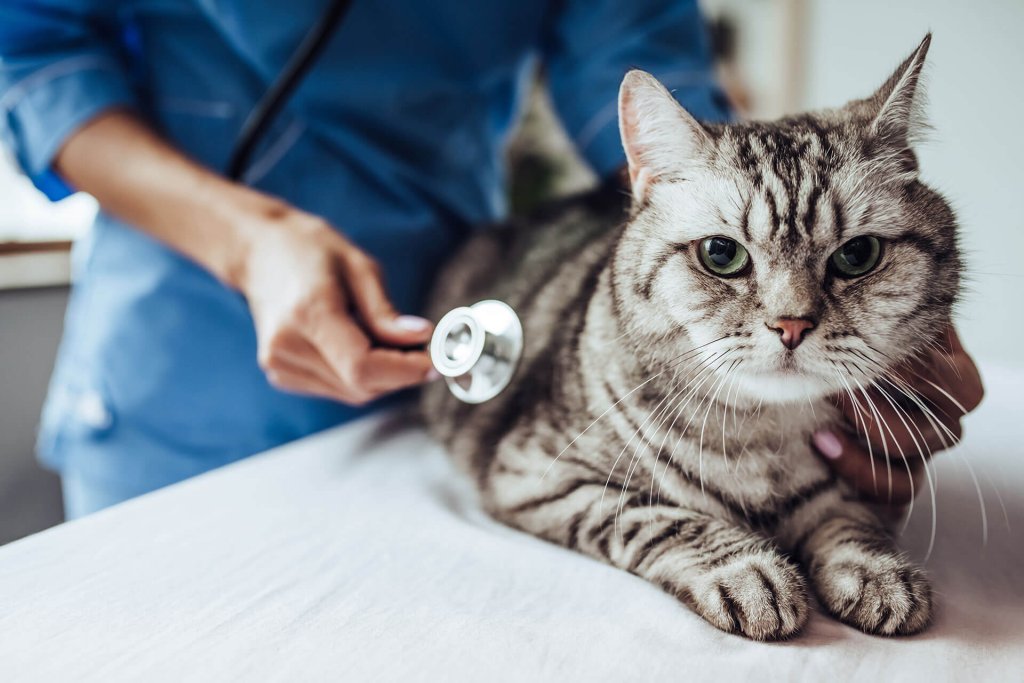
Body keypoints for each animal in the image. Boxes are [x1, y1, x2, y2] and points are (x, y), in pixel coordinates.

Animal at [419, 33, 954, 643]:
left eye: (858, 255)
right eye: (721, 255)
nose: (792, 323)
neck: (760, 438)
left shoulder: (850, 487)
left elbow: (850, 520)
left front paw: (877, 573)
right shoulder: (539, 475)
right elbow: (663, 518)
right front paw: (751, 573)